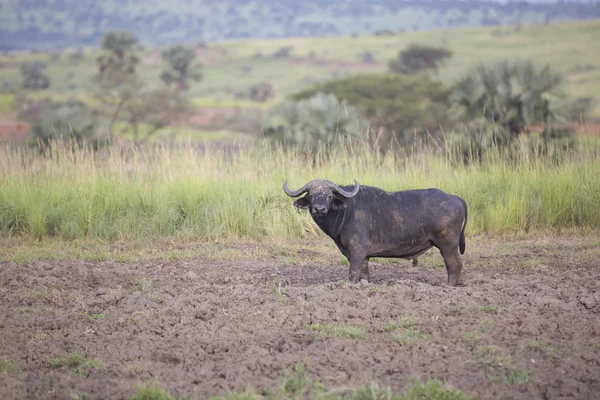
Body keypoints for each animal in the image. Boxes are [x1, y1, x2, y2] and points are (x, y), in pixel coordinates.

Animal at [284, 180, 468, 286]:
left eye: (329, 195)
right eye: (312, 195)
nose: (319, 209)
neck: (346, 211)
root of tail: (454, 197)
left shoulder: (357, 251)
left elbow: (352, 274)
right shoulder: (363, 256)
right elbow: (364, 275)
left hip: (448, 245)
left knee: (454, 265)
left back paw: (448, 286)